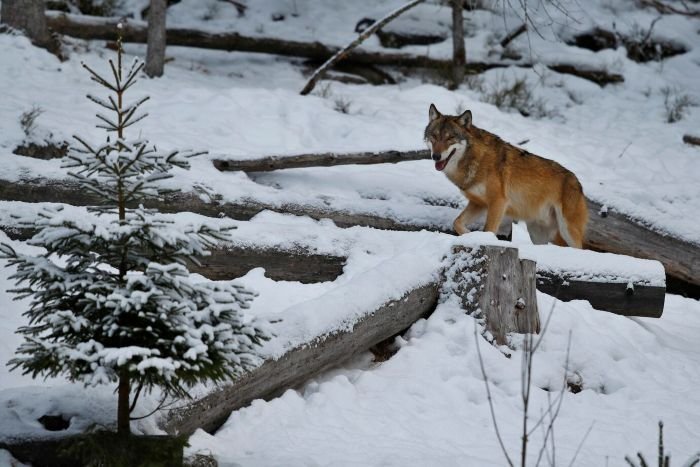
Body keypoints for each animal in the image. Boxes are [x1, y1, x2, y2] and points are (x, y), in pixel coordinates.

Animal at [424, 104, 588, 248]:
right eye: (434, 136)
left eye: (450, 138)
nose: (436, 156)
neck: (474, 159)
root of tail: (578, 183)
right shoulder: (479, 204)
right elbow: (456, 222)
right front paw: (469, 235)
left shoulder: (498, 202)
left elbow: (488, 229)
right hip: (537, 233)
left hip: (567, 231)